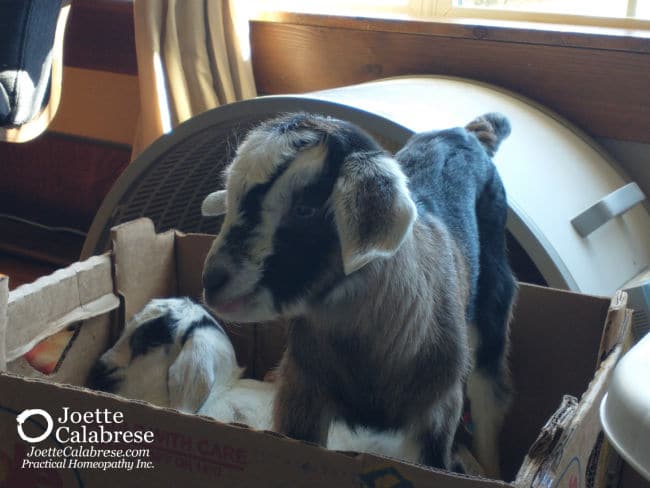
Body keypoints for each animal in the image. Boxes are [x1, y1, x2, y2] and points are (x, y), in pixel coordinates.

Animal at [200, 113, 516, 475]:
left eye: (305, 208)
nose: (212, 281)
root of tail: (467, 132)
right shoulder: (301, 397)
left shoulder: (438, 412)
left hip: (494, 288)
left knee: (490, 389)